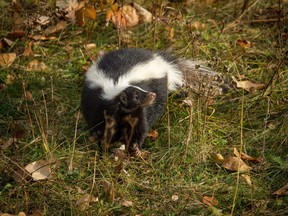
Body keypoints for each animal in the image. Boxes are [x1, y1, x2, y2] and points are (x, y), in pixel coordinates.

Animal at [81, 48, 227, 153]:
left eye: (141, 90)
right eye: (136, 96)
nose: (152, 94)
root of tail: (162, 61)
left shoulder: (138, 112)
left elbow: (140, 128)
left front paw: (135, 147)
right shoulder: (99, 106)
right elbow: (101, 127)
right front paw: (103, 147)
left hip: (161, 89)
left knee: (156, 111)